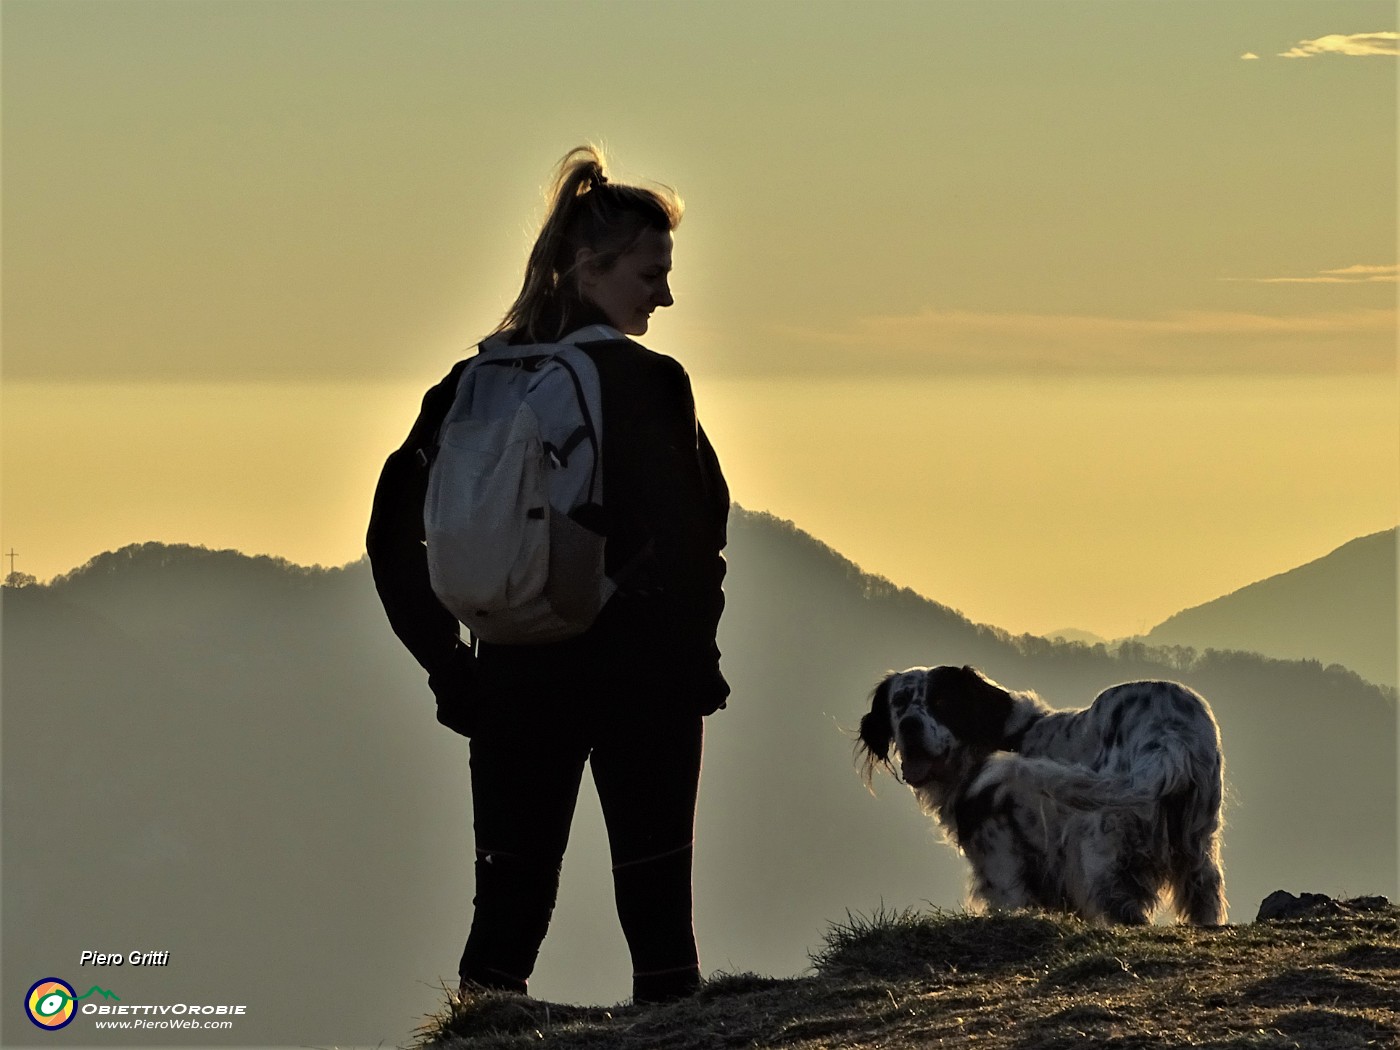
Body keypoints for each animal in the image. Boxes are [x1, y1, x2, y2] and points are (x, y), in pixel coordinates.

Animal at [851, 669, 1226, 924]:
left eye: (942, 702)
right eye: (899, 703)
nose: (910, 725)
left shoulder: (1002, 867)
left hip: (1101, 861)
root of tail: (1167, 736)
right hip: (1197, 853)